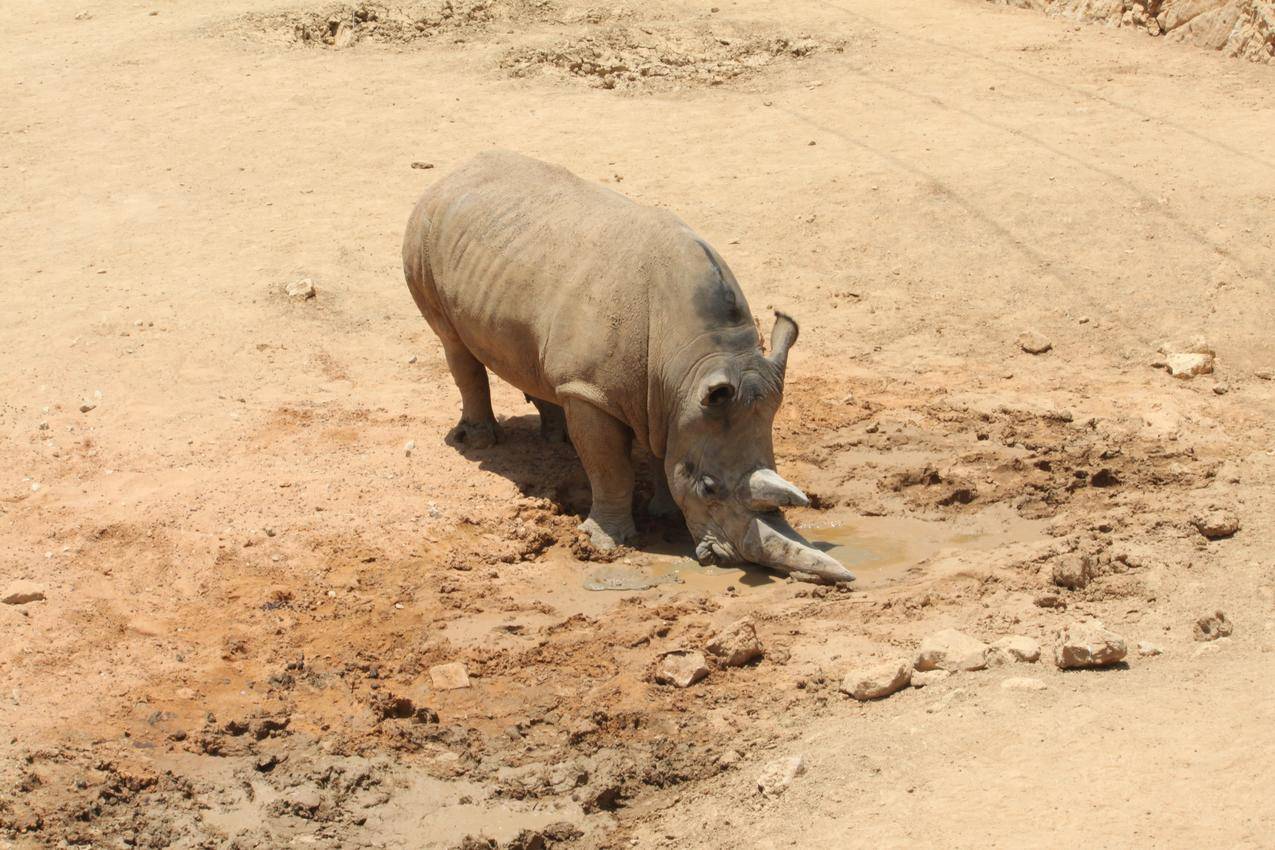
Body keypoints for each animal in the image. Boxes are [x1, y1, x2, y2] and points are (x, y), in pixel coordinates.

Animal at [402, 149, 851, 581]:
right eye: (709, 488)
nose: (729, 559)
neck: (689, 362)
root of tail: (454, 172)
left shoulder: (669, 398)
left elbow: (664, 451)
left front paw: (664, 513)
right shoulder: (593, 391)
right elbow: (609, 466)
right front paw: (605, 542)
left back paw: (556, 438)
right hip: (423, 233)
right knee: (453, 342)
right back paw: (480, 443)